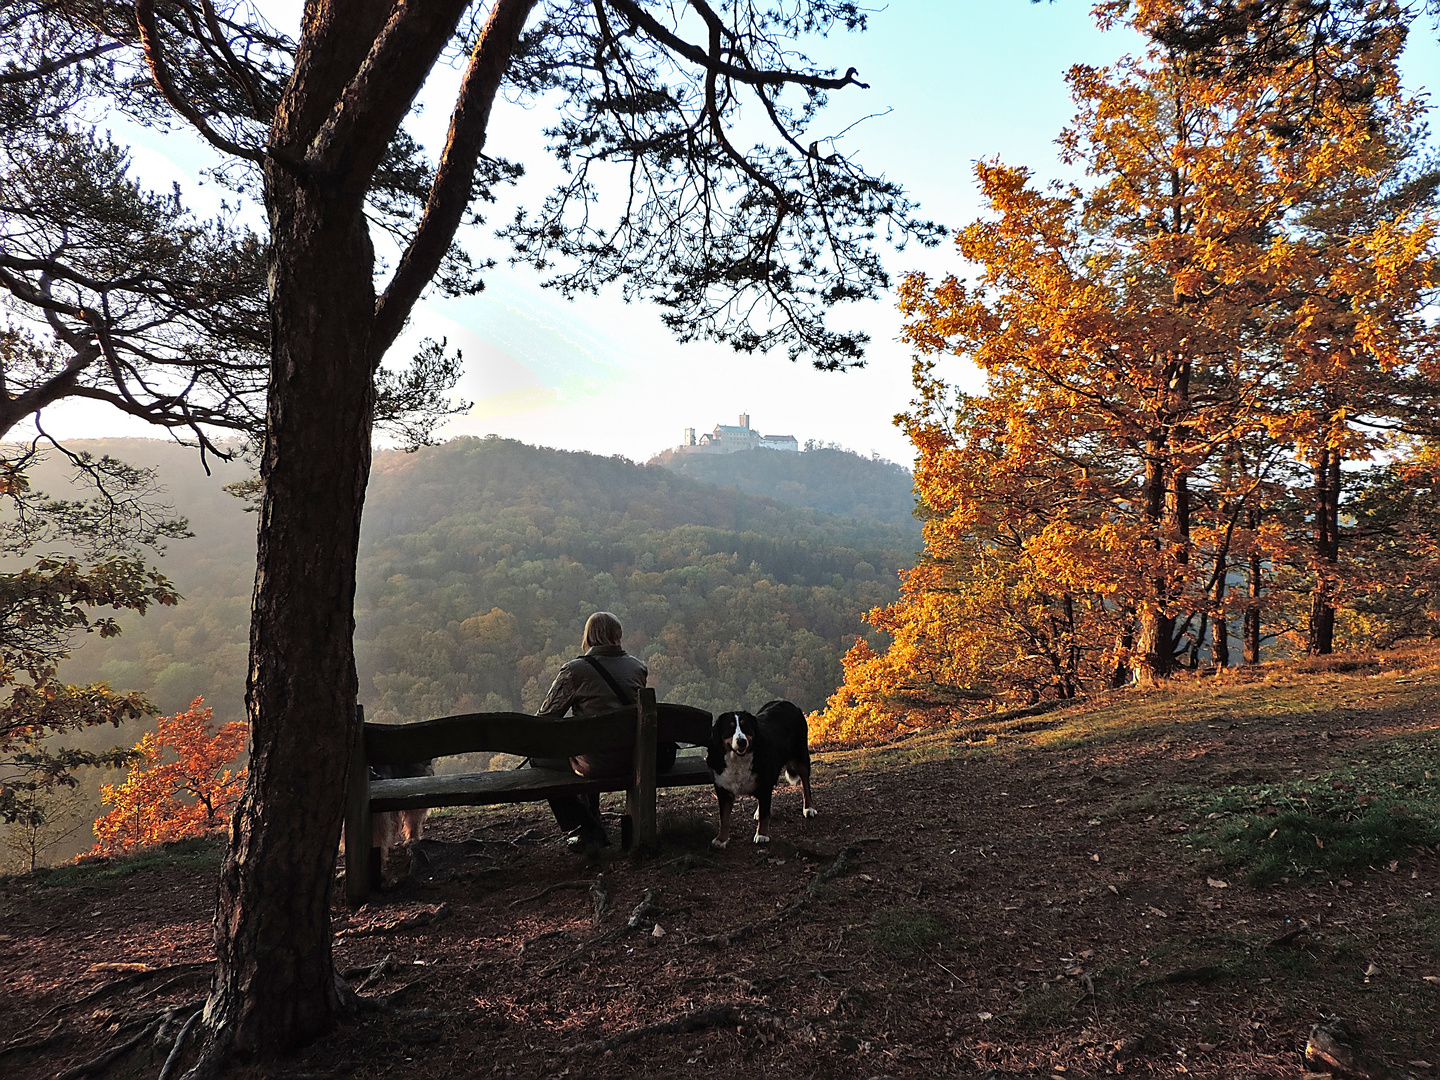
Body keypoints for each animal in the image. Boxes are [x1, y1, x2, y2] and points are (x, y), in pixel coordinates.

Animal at [705, 696, 817, 852]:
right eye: (730, 727)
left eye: (745, 726)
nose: (741, 741)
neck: (738, 761)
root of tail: (788, 703)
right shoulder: (723, 788)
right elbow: (724, 818)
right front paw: (721, 839)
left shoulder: (764, 782)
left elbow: (765, 813)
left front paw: (762, 835)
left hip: (800, 757)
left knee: (805, 783)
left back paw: (809, 807)